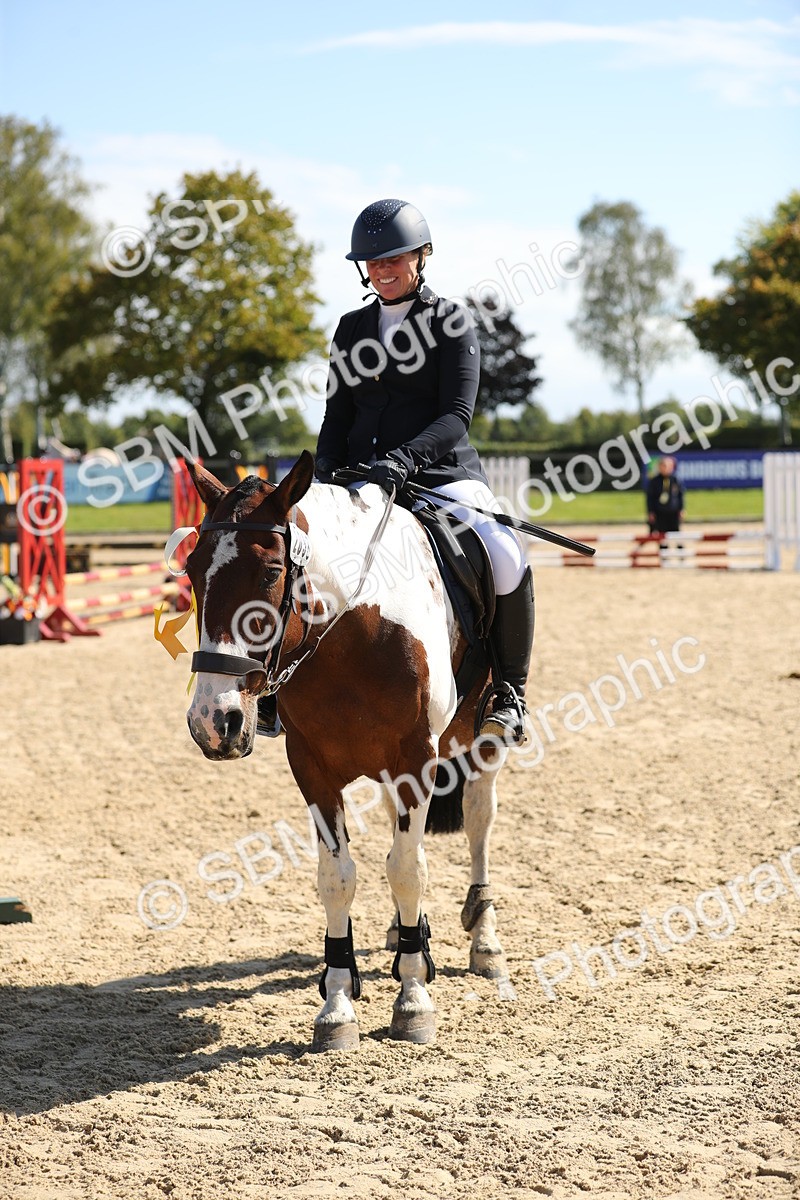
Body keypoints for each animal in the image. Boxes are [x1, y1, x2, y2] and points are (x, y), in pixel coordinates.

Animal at [182, 450, 515, 1051]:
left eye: (270, 573)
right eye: (194, 571)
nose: (213, 722)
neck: (355, 629)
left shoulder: (415, 758)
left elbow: (407, 869)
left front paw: (413, 1001)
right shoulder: (312, 766)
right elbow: (338, 878)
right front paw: (337, 1008)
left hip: (480, 740)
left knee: (479, 818)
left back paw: (484, 941)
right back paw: (404, 931)